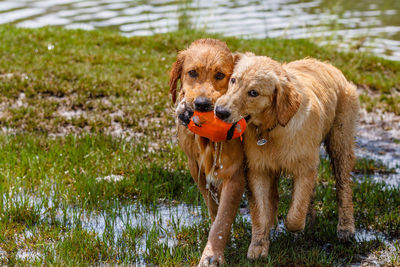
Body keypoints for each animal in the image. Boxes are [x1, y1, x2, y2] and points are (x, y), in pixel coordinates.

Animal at [170, 38, 245, 266]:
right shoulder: (197, 170)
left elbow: (223, 219)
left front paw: (212, 255)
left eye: (220, 75)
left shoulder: (234, 173)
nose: (202, 104)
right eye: (192, 73)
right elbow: (214, 210)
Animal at [214, 54, 358, 260]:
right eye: (233, 80)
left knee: (343, 187)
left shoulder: (305, 167)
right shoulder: (257, 169)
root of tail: (328, 65)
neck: (273, 128)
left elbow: (294, 217)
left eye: (254, 93)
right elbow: (260, 211)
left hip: (340, 141)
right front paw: (258, 247)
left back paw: (346, 229)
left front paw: (297, 226)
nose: (220, 111)